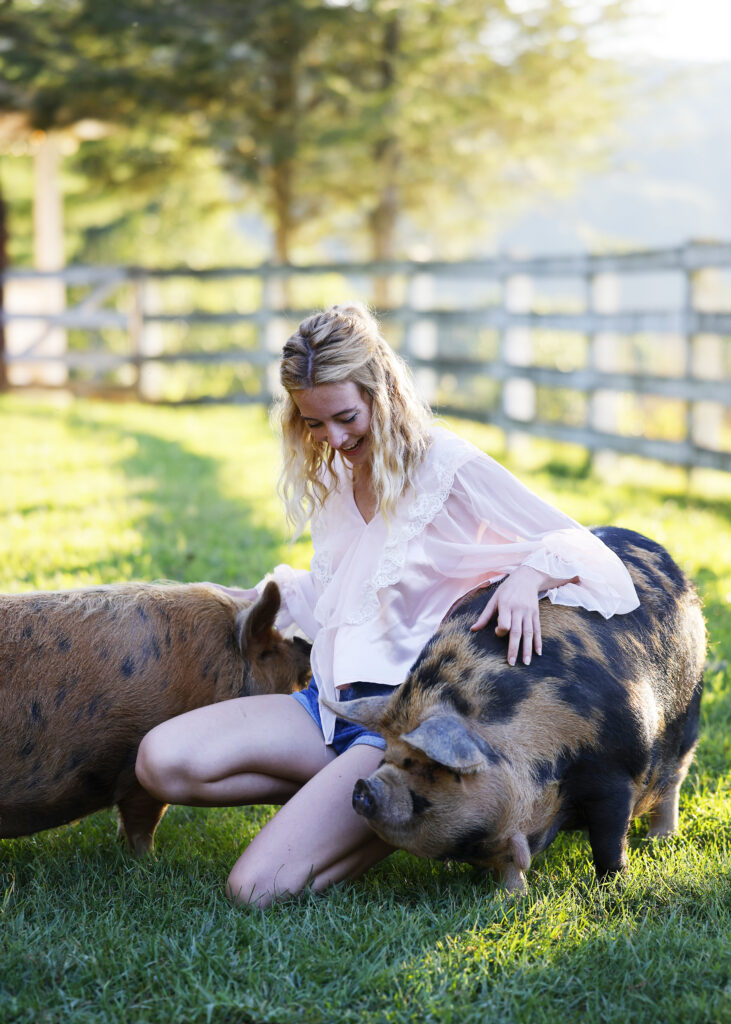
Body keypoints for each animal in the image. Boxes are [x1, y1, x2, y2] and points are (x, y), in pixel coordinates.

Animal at [327, 532, 704, 892]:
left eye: (430, 768)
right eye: (386, 756)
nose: (363, 786)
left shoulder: (616, 772)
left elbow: (609, 840)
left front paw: (611, 888)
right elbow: (506, 860)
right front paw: (511, 898)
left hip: (690, 721)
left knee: (673, 782)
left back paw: (661, 839)